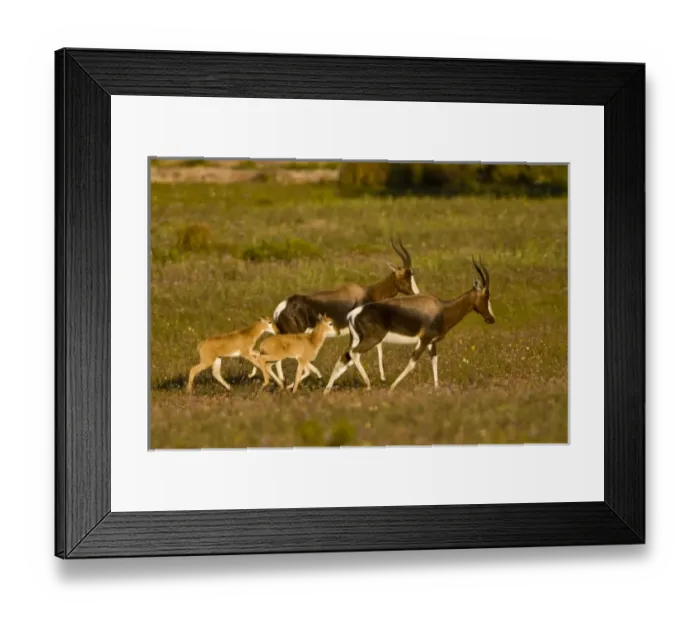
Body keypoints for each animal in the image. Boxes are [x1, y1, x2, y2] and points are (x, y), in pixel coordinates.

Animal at [248, 237, 420, 384]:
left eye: (412, 274)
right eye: (406, 275)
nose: (416, 293)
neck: (367, 292)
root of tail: (281, 308)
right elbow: (375, 347)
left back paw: (284, 382)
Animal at [323, 257, 495, 394]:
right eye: (486, 295)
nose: (491, 319)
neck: (441, 308)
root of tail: (354, 313)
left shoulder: (431, 342)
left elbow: (434, 361)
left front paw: (437, 388)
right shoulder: (424, 340)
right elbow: (412, 362)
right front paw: (392, 387)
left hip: (356, 340)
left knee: (344, 357)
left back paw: (327, 391)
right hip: (372, 340)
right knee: (354, 354)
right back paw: (368, 384)